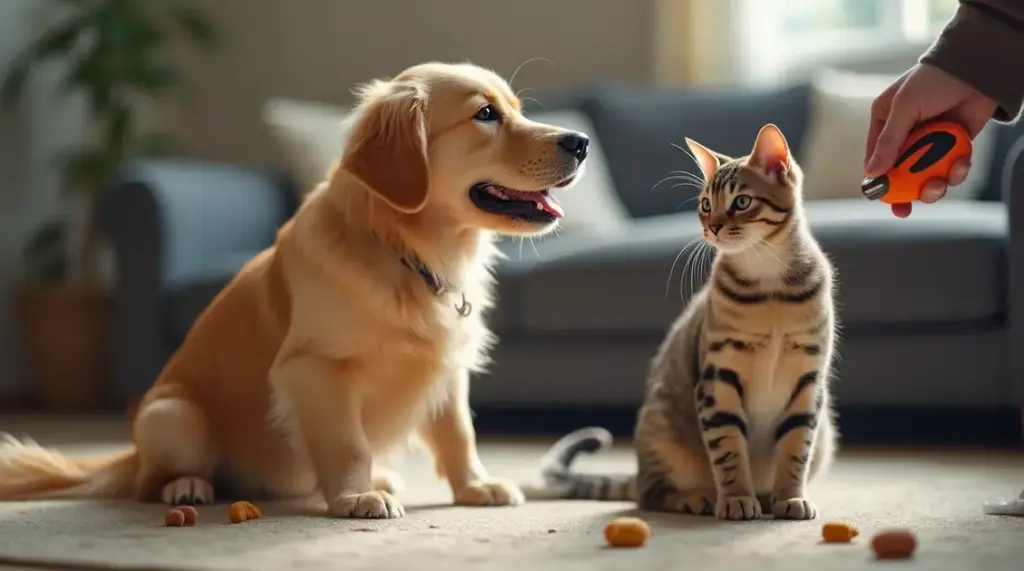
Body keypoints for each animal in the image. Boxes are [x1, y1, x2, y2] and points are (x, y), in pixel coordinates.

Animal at [0, 61, 589, 519]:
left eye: (516, 108)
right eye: (485, 114)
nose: (580, 142)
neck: (406, 253)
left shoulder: (447, 369)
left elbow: (458, 434)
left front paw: (475, 486)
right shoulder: (315, 369)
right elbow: (347, 443)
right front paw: (355, 497)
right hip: (173, 414)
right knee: (151, 481)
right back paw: (187, 485)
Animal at [524, 125, 835, 523]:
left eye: (741, 203)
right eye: (706, 205)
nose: (713, 227)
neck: (769, 284)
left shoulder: (809, 381)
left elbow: (796, 449)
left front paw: (791, 497)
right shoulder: (719, 379)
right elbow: (729, 451)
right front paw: (736, 498)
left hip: (826, 432)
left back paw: (765, 498)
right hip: (662, 433)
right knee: (650, 493)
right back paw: (698, 498)